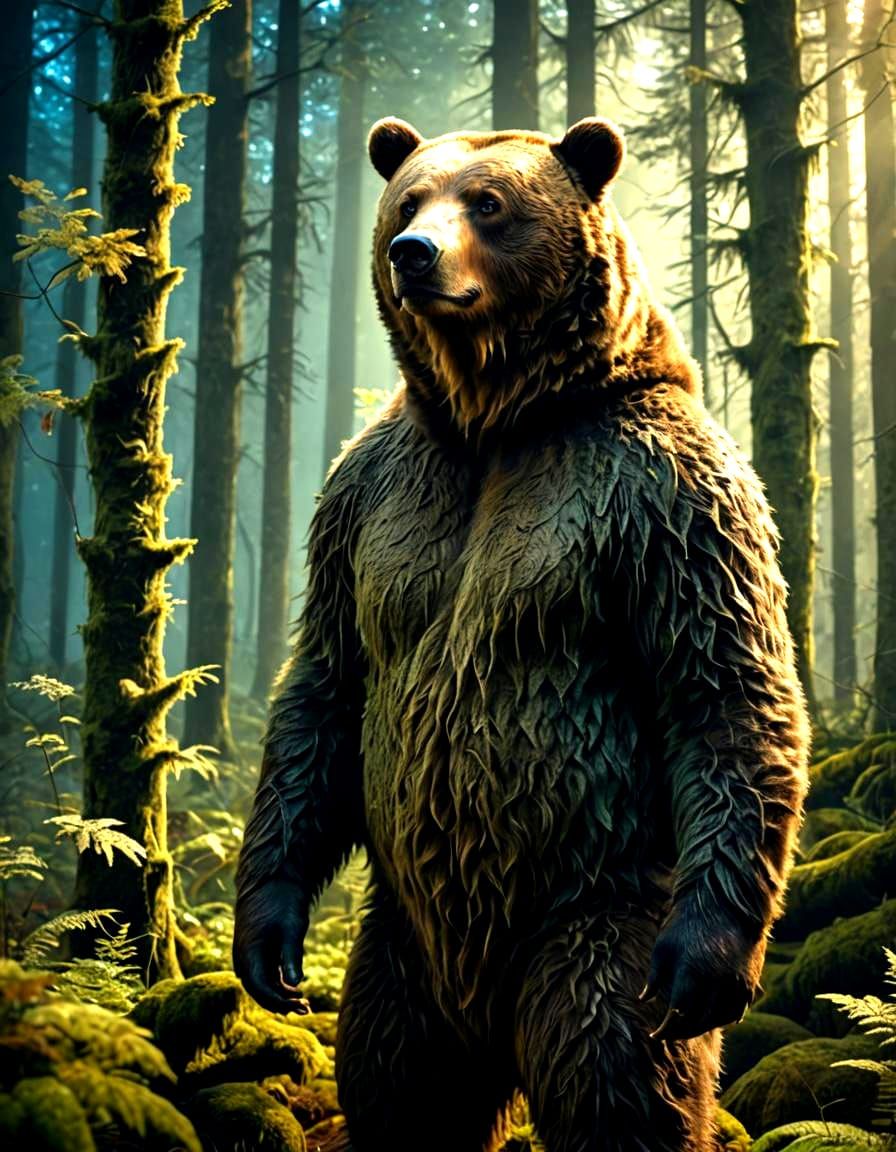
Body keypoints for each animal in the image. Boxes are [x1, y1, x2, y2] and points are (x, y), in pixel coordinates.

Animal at [233, 116, 810, 1152]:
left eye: (490, 202)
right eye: (410, 196)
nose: (411, 254)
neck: (495, 418)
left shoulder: (660, 492)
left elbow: (720, 682)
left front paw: (709, 962)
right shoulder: (370, 498)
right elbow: (328, 680)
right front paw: (267, 938)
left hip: (591, 908)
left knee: (611, 1073)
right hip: (401, 948)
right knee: (398, 1080)